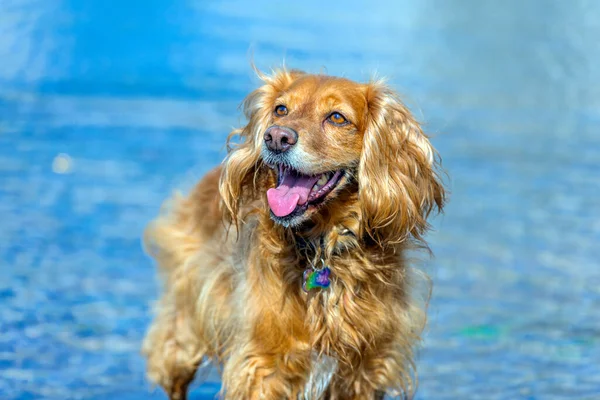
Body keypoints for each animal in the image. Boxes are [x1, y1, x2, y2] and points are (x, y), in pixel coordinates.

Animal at [143, 67, 446, 398]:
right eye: (281, 109)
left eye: (337, 117)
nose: (276, 137)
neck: (323, 249)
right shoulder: (262, 366)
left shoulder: (366, 370)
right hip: (183, 336)